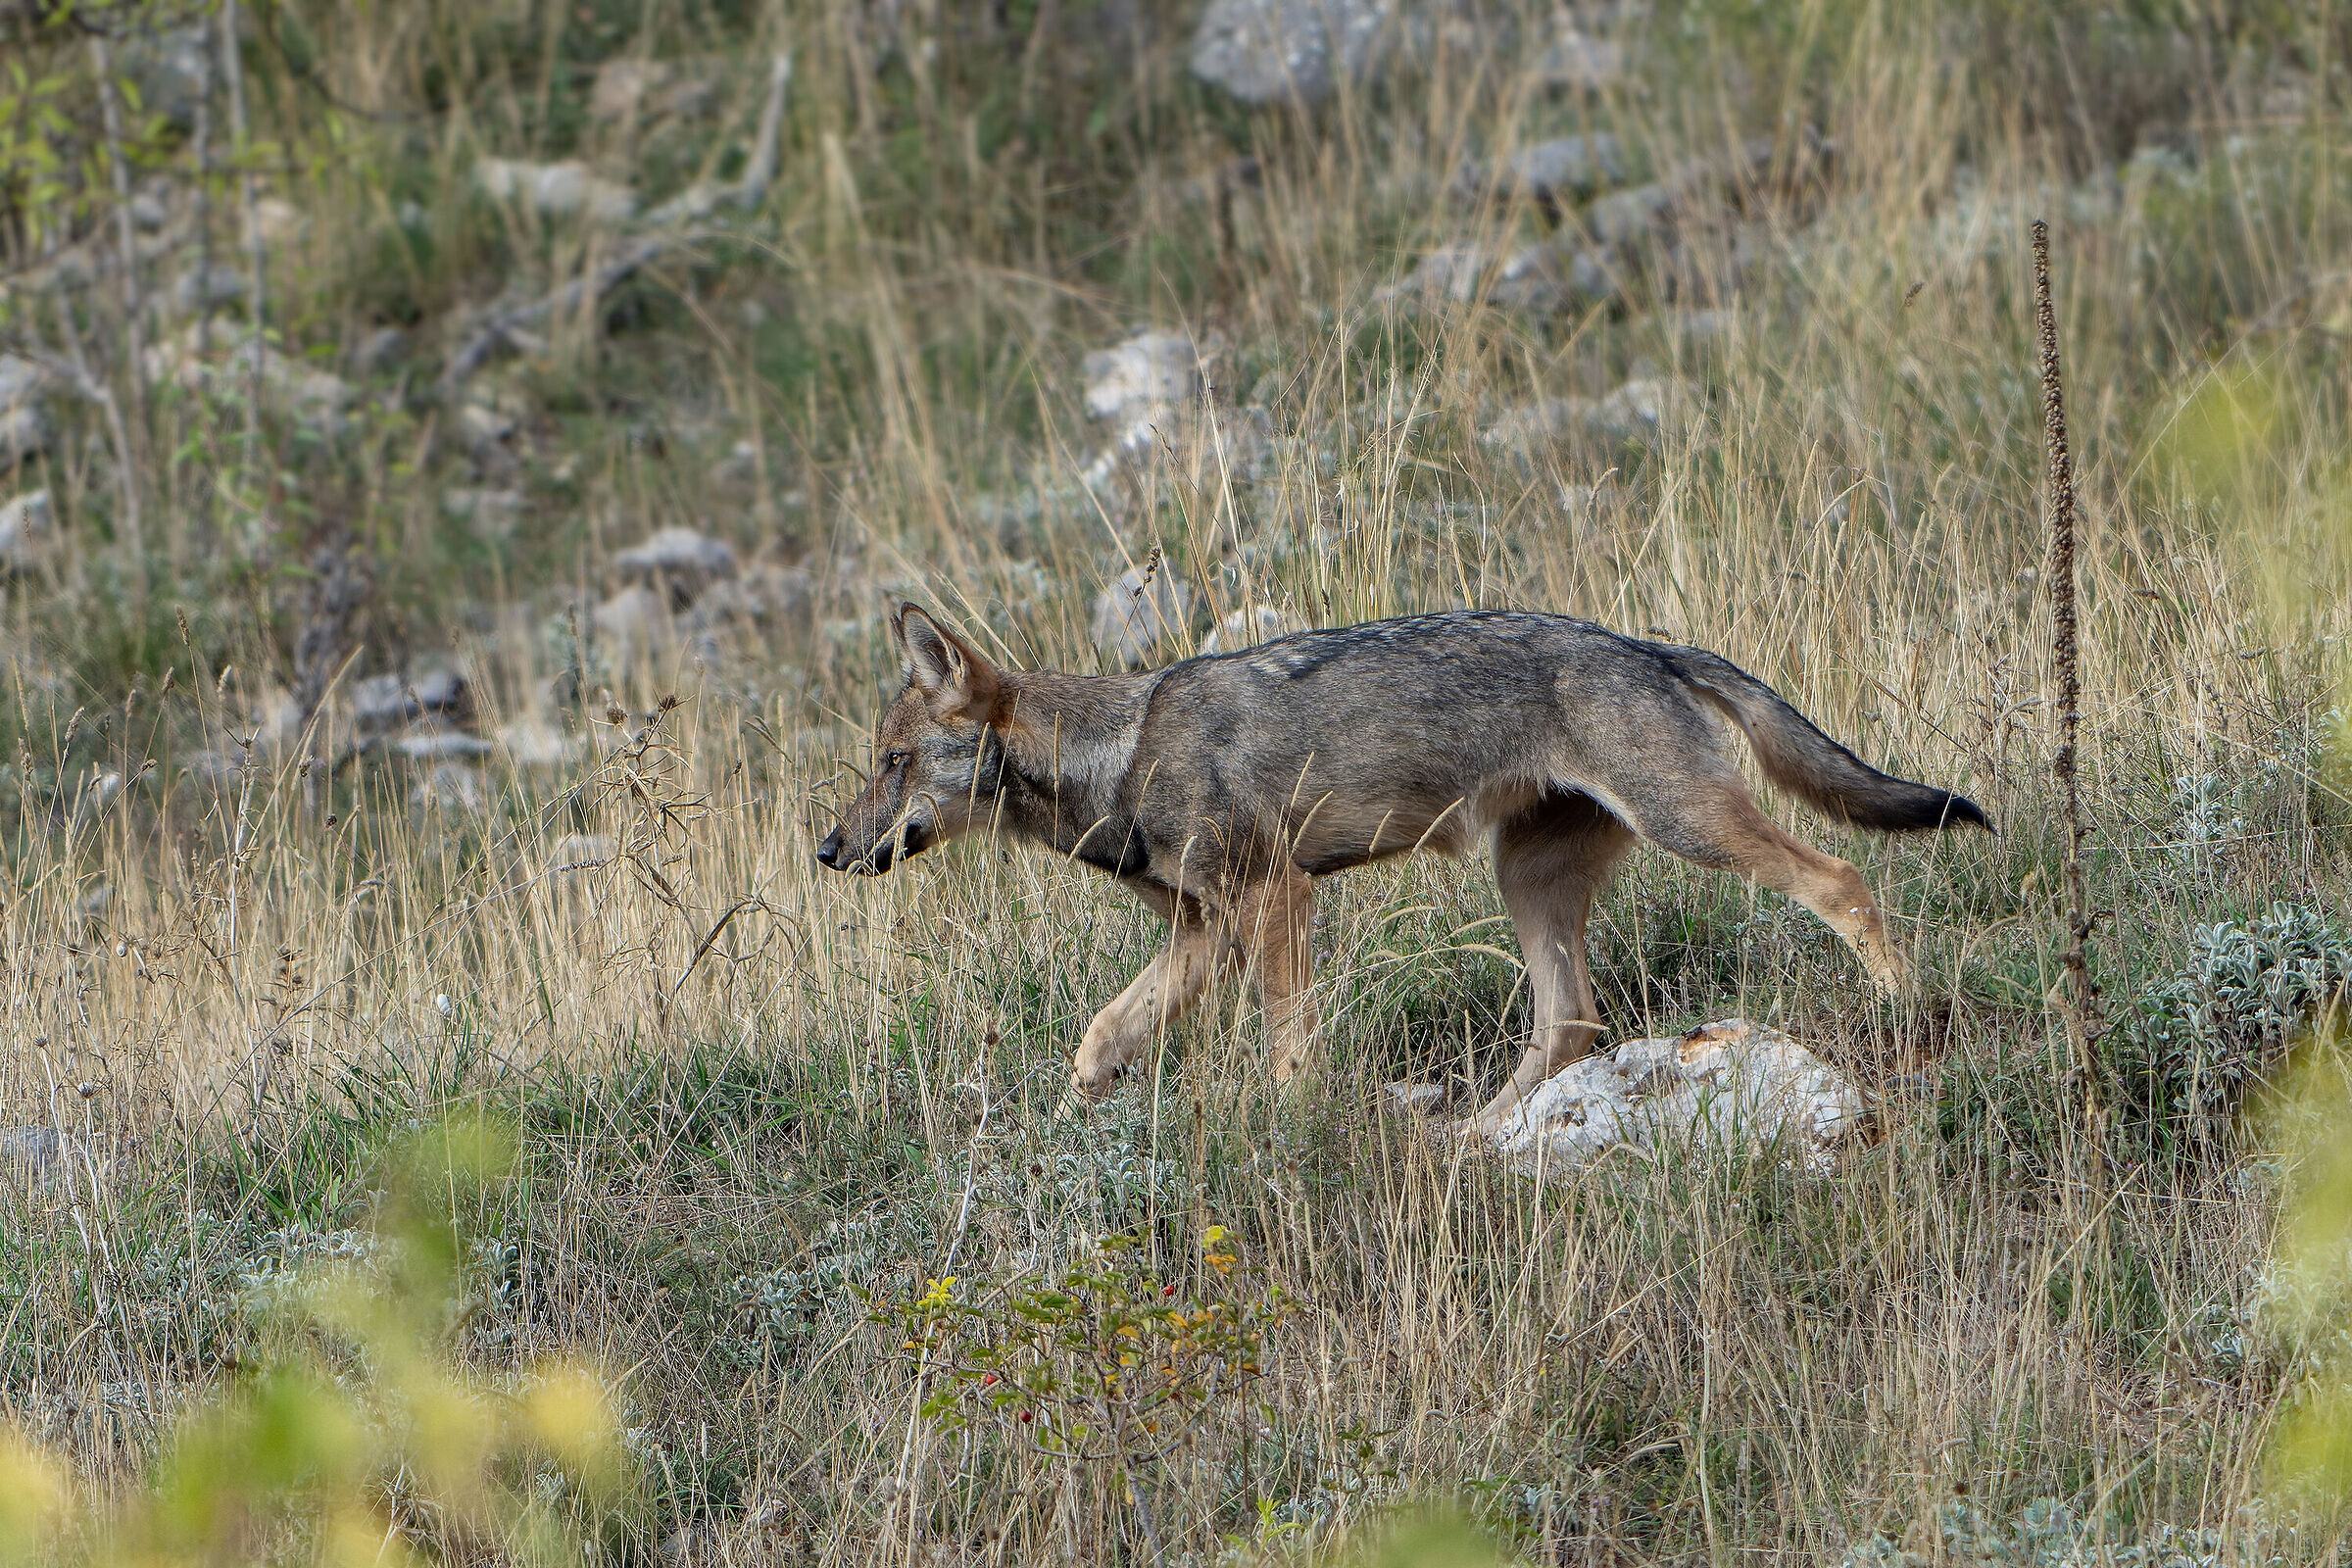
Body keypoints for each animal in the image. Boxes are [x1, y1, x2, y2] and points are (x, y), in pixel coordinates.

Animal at [816, 603, 1989, 1128]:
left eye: (891, 763)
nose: (825, 849)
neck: (1120, 755)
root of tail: (1644, 644)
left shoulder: (1274, 902)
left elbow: (1290, 1055)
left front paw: (1290, 1136)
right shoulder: (1204, 930)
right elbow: (1100, 1033)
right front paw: (1082, 1113)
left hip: (1688, 826)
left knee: (1843, 881)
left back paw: (1906, 1013)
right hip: (1530, 884)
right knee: (1570, 1021)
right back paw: (1478, 1133)